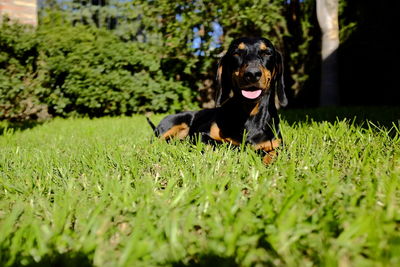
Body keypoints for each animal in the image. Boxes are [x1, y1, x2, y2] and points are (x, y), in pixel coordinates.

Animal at [147, 36, 288, 164]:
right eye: (236, 52)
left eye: (267, 52)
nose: (252, 74)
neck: (249, 114)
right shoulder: (201, 133)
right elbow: (218, 144)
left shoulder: (278, 144)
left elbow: (275, 153)